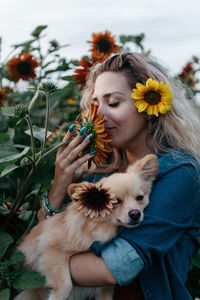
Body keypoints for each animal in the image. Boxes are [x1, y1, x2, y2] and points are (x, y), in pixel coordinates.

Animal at [15, 155, 158, 300]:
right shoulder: (50, 250)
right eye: (116, 202)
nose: (135, 213)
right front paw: (57, 296)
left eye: (140, 198)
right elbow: (65, 285)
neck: (98, 227)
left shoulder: (104, 289)